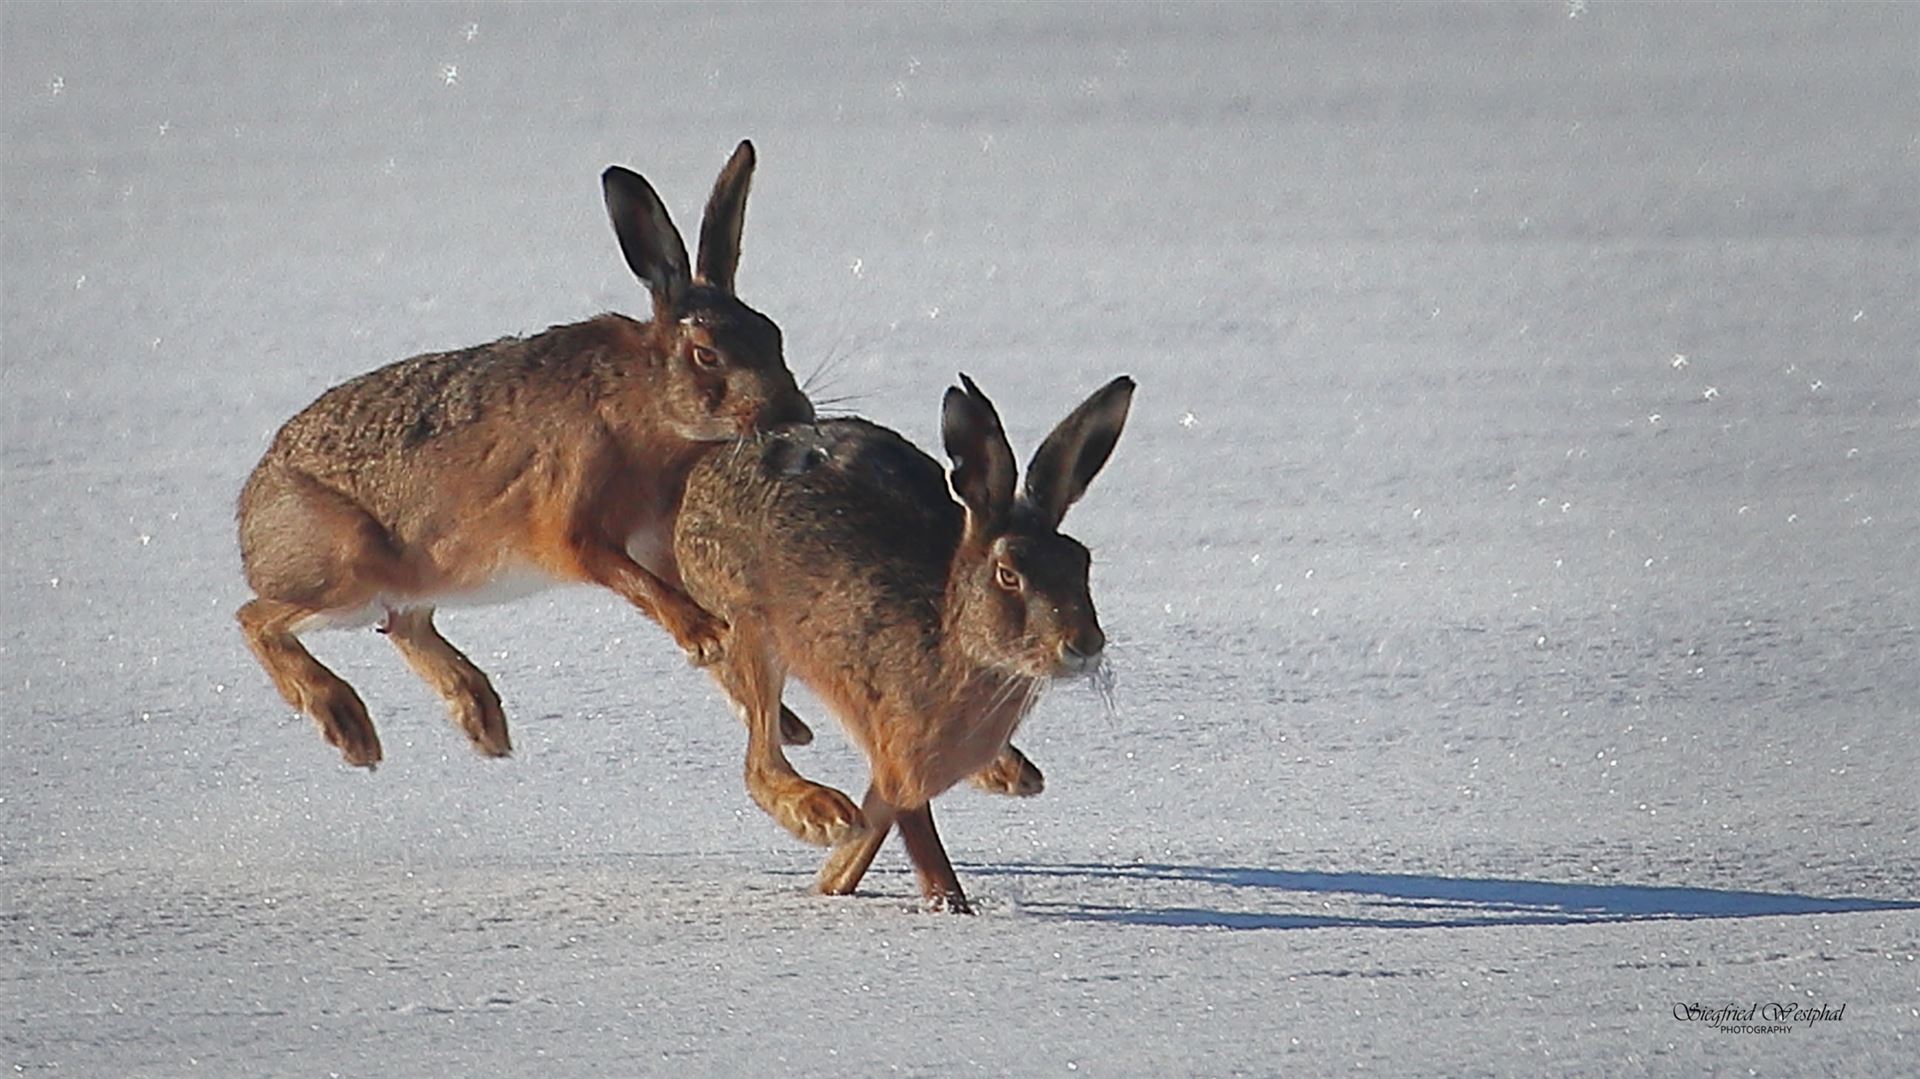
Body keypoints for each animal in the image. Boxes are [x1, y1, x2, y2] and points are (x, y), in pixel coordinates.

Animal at [235, 140, 819, 768]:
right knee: (256, 619)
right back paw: (346, 724)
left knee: (405, 624)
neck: (648, 399)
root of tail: (251, 520)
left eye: (774, 334)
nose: (793, 416)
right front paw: (706, 637)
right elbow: (638, 584)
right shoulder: (574, 528)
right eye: (706, 355)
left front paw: (777, 715)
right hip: (346, 569)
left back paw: (480, 719)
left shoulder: (655, 540)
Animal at [675, 373, 1133, 912]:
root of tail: (712, 468)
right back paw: (823, 814)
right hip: (751, 627)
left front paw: (834, 884)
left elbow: (880, 823)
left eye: (1081, 564)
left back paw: (1009, 772)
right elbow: (916, 837)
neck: (960, 643)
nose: (1084, 644)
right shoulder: (898, 754)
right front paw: (947, 904)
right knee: (759, 758)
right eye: (1008, 575)